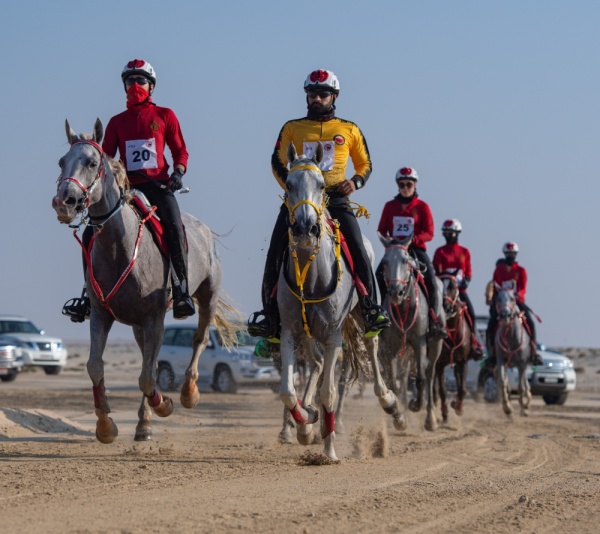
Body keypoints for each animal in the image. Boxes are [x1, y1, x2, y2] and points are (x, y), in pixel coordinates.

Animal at [51, 120, 239, 444]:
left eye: (91, 162)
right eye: (62, 161)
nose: (64, 202)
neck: (120, 248)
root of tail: (204, 229)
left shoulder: (155, 318)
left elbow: (148, 376)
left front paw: (164, 404)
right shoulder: (101, 314)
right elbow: (96, 366)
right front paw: (106, 425)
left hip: (207, 297)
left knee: (199, 339)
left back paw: (188, 393)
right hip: (138, 323)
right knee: (145, 358)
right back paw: (143, 424)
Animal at [378, 237, 442, 434]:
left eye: (405, 260)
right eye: (385, 262)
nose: (395, 292)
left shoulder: (420, 342)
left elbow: (420, 379)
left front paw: (415, 404)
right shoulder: (390, 348)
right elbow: (393, 382)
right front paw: (400, 419)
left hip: (435, 346)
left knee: (429, 375)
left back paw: (430, 419)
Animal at [494, 284, 532, 418]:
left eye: (512, 298)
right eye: (498, 298)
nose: (505, 315)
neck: (511, 336)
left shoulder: (522, 364)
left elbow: (521, 387)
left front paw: (523, 406)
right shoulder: (501, 361)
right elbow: (502, 383)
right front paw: (507, 408)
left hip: (524, 365)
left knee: (525, 384)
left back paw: (526, 406)